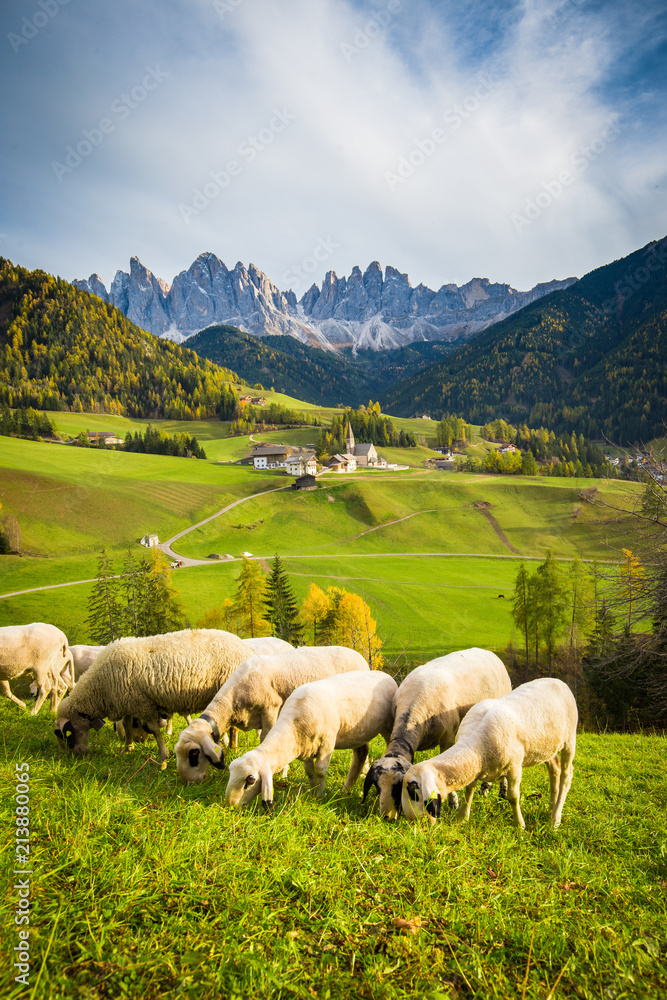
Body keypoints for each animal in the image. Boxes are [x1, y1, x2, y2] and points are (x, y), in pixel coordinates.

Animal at [54, 628, 248, 768]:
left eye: (66, 735)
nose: (73, 757)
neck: (99, 687)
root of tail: (244, 647)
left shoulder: (143, 704)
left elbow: (154, 730)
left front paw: (163, 756)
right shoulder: (128, 702)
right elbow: (127, 726)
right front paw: (128, 748)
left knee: (233, 725)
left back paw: (233, 746)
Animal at [175, 648, 370, 780]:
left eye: (193, 754)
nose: (189, 783)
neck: (234, 699)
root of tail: (360, 657)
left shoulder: (271, 708)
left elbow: (266, 739)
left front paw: (281, 771)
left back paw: (363, 772)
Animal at [227, 668, 400, 808]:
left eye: (250, 780)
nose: (231, 804)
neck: (293, 724)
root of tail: (384, 674)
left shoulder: (327, 742)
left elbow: (321, 771)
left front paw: (320, 795)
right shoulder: (305, 746)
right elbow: (310, 771)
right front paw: (313, 793)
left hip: (388, 726)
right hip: (358, 734)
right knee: (361, 754)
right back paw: (346, 789)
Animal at [360, 648, 512, 820]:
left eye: (398, 787)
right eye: (377, 786)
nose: (387, 817)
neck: (414, 712)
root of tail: (486, 651)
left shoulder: (447, 739)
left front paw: (453, 804)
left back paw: (500, 792)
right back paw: (487, 788)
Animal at [402, 676, 580, 832]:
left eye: (413, 789)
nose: (415, 823)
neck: (475, 747)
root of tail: (558, 681)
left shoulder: (515, 767)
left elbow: (513, 797)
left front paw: (519, 826)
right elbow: (469, 789)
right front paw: (462, 818)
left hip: (570, 740)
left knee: (566, 775)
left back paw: (555, 820)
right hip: (547, 747)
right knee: (554, 769)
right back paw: (551, 807)